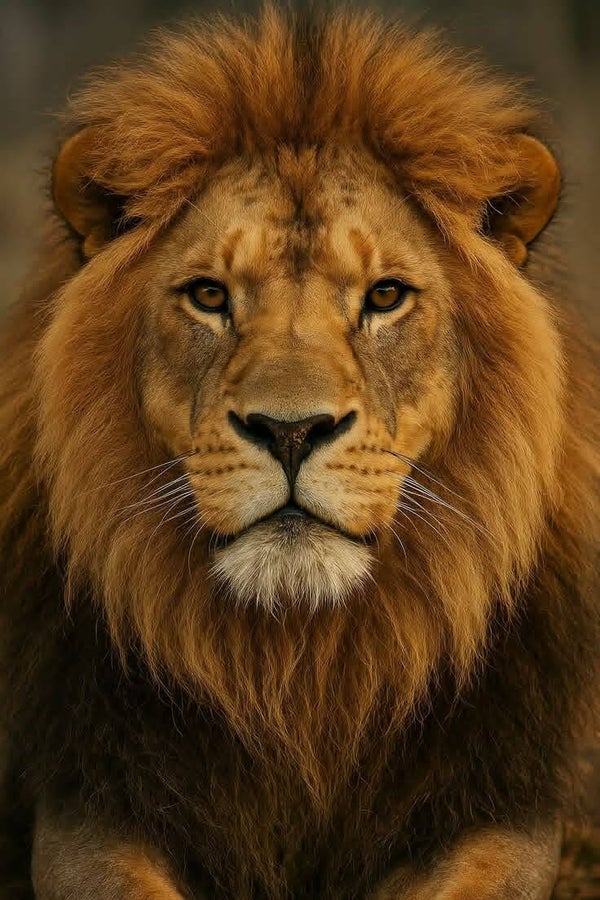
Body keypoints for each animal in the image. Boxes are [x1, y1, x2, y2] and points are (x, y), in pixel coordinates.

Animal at [0, 6, 598, 899]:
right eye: (209, 296)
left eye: (385, 296)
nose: (290, 430)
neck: (301, 669)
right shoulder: (90, 805)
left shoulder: (500, 807)